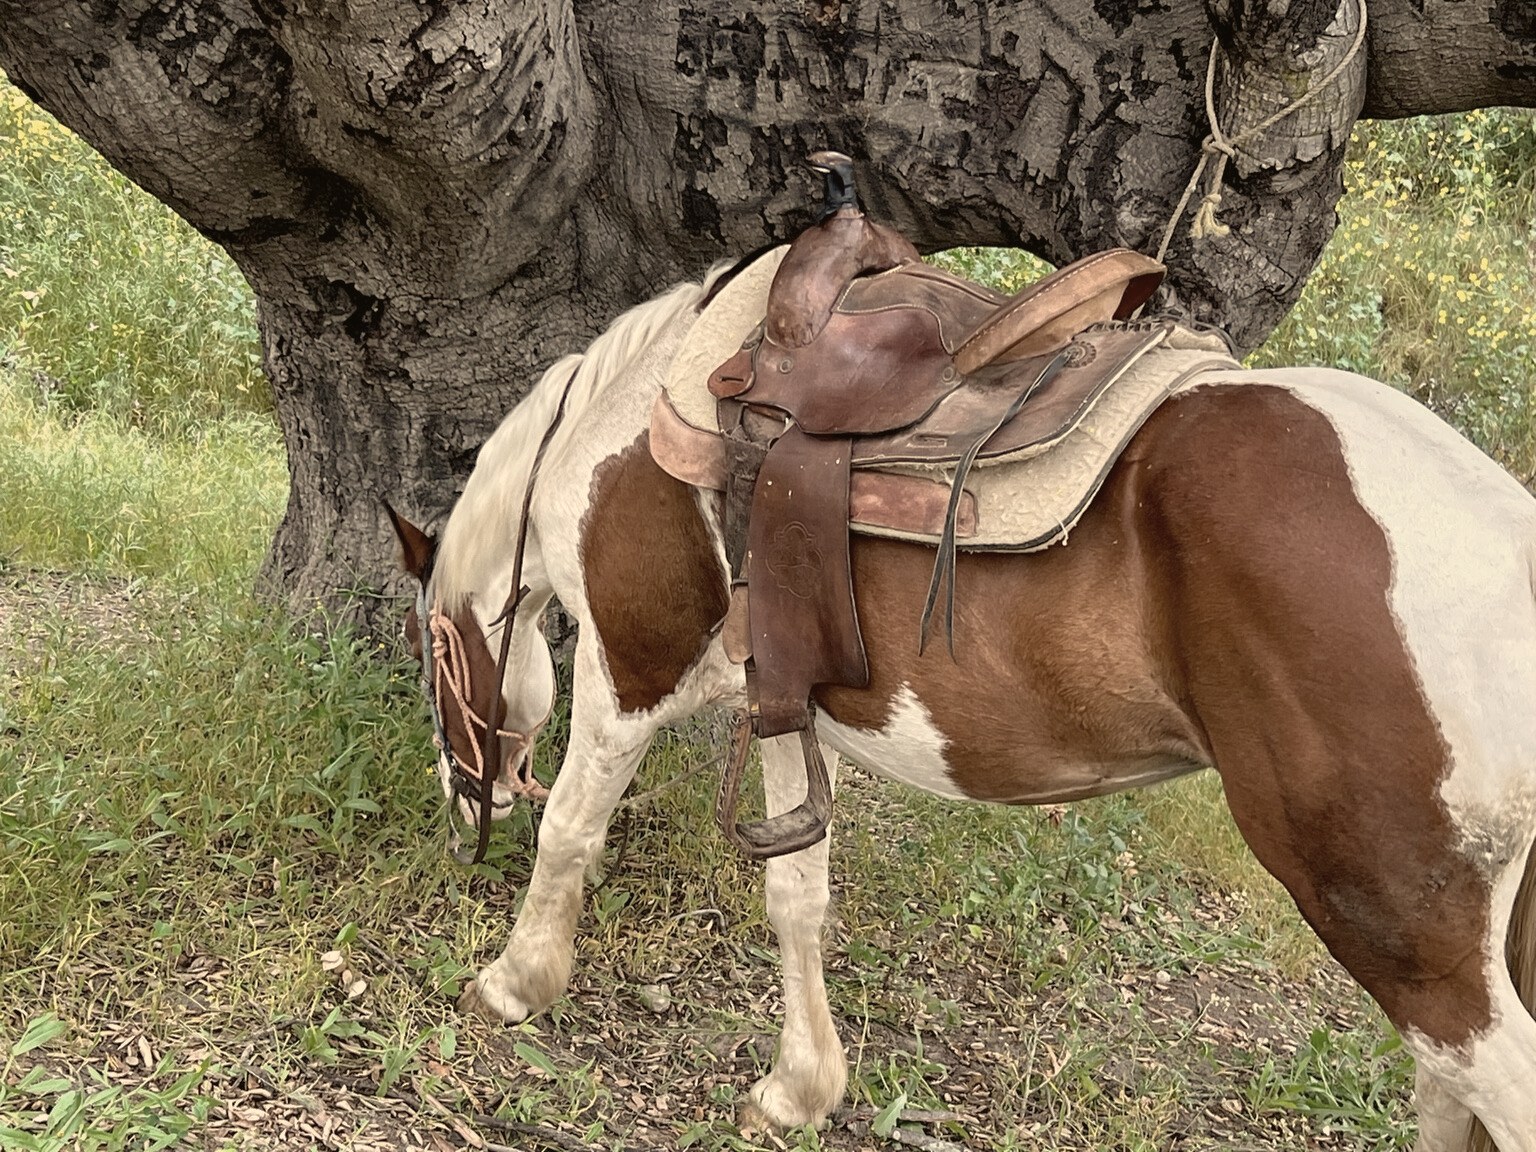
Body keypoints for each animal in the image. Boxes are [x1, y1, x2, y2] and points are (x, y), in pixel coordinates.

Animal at [386, 261, 1536, 1151]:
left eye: (427, 663)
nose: (462, 803)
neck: (628, 419)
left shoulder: (630, 670)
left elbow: (572, 831)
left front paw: (515, 981)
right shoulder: (782, 700)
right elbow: (796, 895)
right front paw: (798, 1089)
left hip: (1395, 921)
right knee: (1447, 1098)